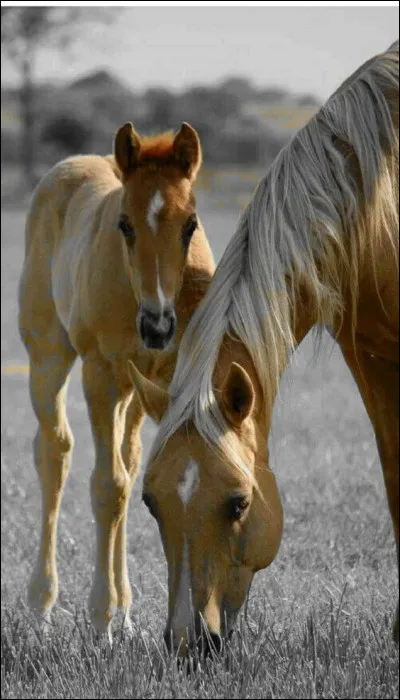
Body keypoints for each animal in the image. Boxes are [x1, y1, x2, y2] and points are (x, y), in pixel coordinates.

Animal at [18, 121, 215, 641]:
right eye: (124, 225)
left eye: (190, 225)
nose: (158, 326)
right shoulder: (102, 375)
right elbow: (107, 486)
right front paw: (100, 619)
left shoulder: (168, 380)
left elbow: (145, 478)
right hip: (49, 356)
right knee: (55, 453)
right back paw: (41, 603)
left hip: (134, 392)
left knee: (128, 458)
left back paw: (125, 609)